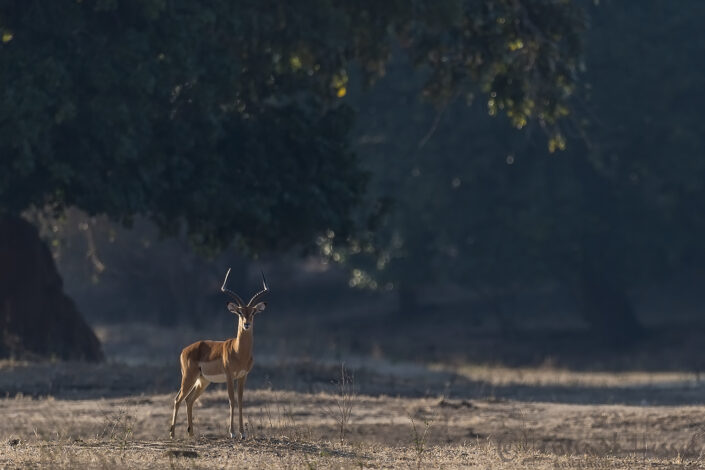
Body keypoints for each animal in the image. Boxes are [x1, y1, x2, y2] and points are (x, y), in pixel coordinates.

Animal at [169, 268, 269, 439]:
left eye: (253, 312)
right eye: (240, 313)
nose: (246, 324)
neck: (239, 351)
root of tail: (185, 350)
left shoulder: (243, 375)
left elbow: (240, 400)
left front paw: (243, 433)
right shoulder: (229, 375)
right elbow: (231, 400)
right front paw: (232, 433)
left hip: (203, 381)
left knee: (189, 400)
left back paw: (191, 433)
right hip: (189, 377)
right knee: (177, 399)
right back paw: (173, 434)